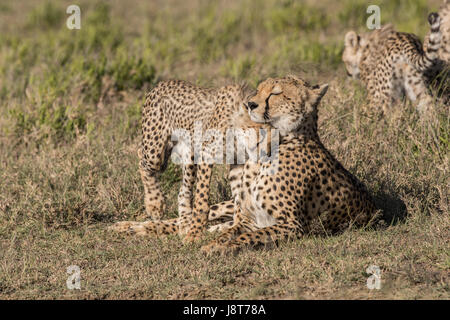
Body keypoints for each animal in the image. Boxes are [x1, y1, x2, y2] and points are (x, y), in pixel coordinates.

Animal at [200, 75, 376, 255]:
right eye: (258, 90)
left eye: (275, 93)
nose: (250, 104)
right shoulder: (249, 220)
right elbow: (230, 233)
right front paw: (212, 244)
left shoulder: (293, 225)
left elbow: (250, 236)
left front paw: (223, 247)